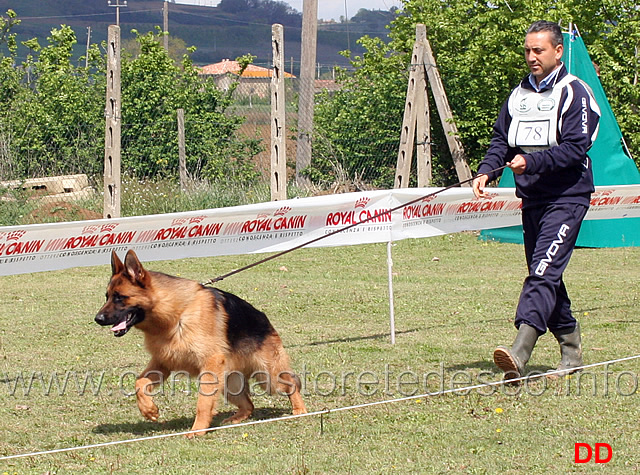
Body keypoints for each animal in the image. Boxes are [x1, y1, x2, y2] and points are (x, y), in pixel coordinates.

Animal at [93, 251, 308, 436]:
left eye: (120, 297)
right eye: (107, 296)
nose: (97, 319)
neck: (176, 314)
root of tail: (265, 319)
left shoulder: (209, 366)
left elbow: (203, 402)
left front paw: (197, 430)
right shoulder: (163, 363)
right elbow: (139, 382)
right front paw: (149, 409)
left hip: (268, 377)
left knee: (291, 384)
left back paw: (300, 410)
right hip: (229, 384)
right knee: (249, 405)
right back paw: (234, 419)